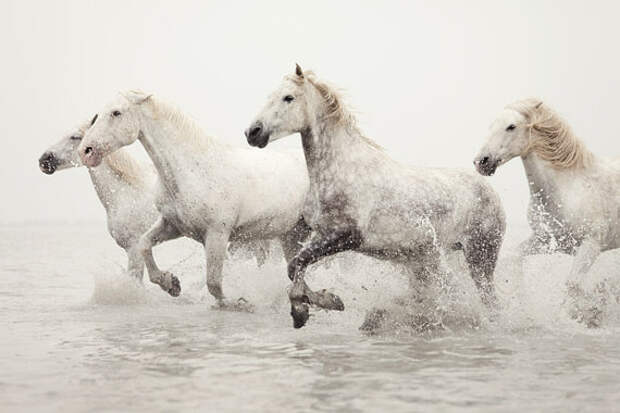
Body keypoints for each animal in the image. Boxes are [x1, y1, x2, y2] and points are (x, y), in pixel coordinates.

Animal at [77, 90, 312, 308]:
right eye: (97, 116)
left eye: (116, 113)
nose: (86, 151)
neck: (193, 169)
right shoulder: (173, 225)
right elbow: (144, 244)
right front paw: (171, 284)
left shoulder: (217, 234)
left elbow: (213, 282)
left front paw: (238, 302)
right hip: (291, 234)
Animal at [245, 65, 506, 328]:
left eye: (288, 97)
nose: (253, 132)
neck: (342, 168)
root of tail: (490, 191)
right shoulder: (319, 233)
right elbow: (294, 268)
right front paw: (326, 301)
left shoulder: (346, 235)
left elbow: (297, 263)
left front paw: (304, 310)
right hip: (424, 261)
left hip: (479, 257)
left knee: (487, 300)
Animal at [474, 98, 620, 324]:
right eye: (491, 126)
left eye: (511, 127)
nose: (482, 161)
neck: (568, 188)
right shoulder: (546, 240)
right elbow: (514, 259)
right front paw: (521, 304)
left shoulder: (591, 245)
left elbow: (572, 284)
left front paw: (567, 318)